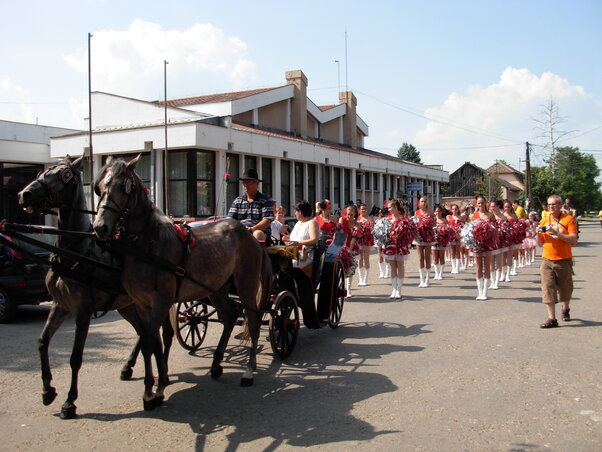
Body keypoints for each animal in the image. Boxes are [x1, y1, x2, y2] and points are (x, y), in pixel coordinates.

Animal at [17, 155, 172, 420]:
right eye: (43, 171)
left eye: (63, 175)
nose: (24, 194)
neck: (74, 251)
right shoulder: (60, 305)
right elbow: (42, 341)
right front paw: (48, 390)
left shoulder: (83, 310)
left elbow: (75, 357)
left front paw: (70, 401)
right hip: (127, 306)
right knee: (145, 335)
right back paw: (131, 369)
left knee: (161, 335)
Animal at [92, 154, 270, 410]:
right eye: (98, 187)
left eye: (123, 187)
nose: (100, 227)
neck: (148, 245)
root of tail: (250, 235)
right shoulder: (143, 304)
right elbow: (151, 341)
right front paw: (156, 386)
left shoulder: (160, 301)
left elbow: (150, 341)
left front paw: (152, 391)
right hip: (216, 288)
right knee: (229, 316)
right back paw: (216, 364)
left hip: (245, 283)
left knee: (253, 320)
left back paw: (248, 371)